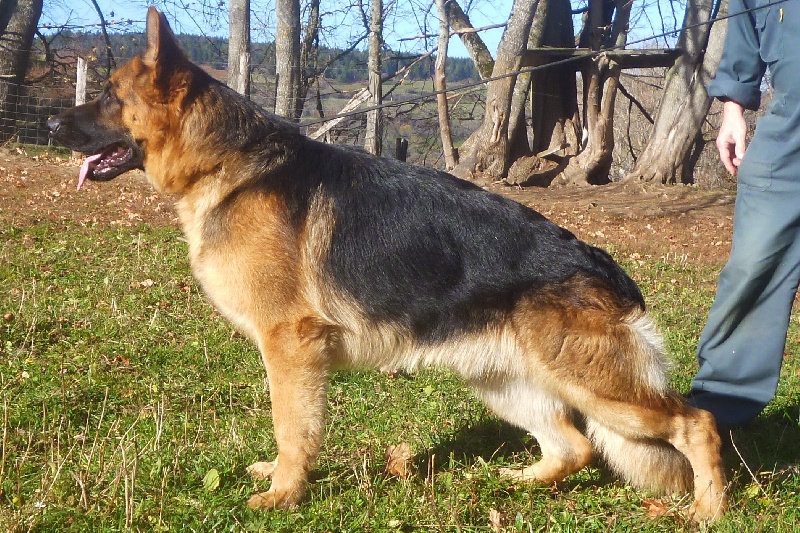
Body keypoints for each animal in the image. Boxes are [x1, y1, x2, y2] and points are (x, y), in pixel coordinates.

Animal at [47, 6, 728, 520]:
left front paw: (283, 494)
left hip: (601, 388)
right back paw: (518, 483)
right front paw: (279, 479)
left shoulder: (290, 348)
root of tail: (603, 267)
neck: (224, 162)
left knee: (697, 423)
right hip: (506, 384)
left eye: (107, 97)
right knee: (575, 447)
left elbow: (292, 426)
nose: (52, 123)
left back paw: (708, 510)